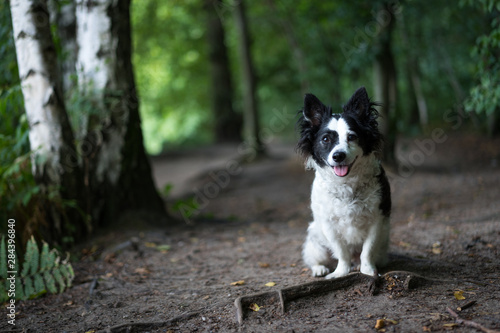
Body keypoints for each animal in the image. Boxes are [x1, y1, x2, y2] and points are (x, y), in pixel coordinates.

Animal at [296, 87, 390, 278]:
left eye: (352, 137)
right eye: (325, 139)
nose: (338, 155)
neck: (346, 184)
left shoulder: (377, 219)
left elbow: (367, 250)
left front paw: (368, 270)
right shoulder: (328, 225)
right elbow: (341, 251)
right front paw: (341, 272)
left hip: (384, 247)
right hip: (316, 240)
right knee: (314, 257)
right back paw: (320, 268)